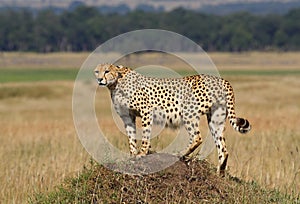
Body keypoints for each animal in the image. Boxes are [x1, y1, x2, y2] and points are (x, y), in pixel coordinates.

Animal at [94, 64, 251, 175]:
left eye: (106, 71)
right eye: (97, 71)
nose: (100, 79)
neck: (116, 83)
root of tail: (221, 79)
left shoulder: (146, 111)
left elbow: (145, 135)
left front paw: (142, 154)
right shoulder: (128, 117)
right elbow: (131, 137)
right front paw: (132, 156)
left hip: (188, 112)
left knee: (197, 137)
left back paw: (180, 154)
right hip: (215, 118)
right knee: (223, 148)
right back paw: (220, 173)